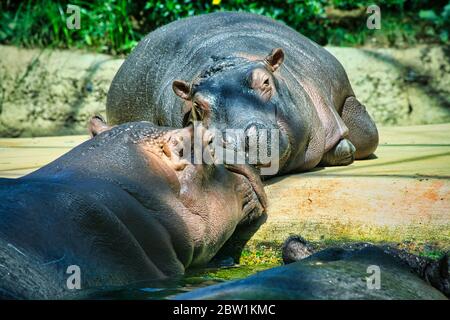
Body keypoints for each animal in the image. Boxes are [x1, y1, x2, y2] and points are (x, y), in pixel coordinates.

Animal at [107, 11, 378, 175]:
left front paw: (346, 148)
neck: (230, 56)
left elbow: (367, 134)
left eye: (265, 81)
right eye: (197, 106)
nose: (235, 141)